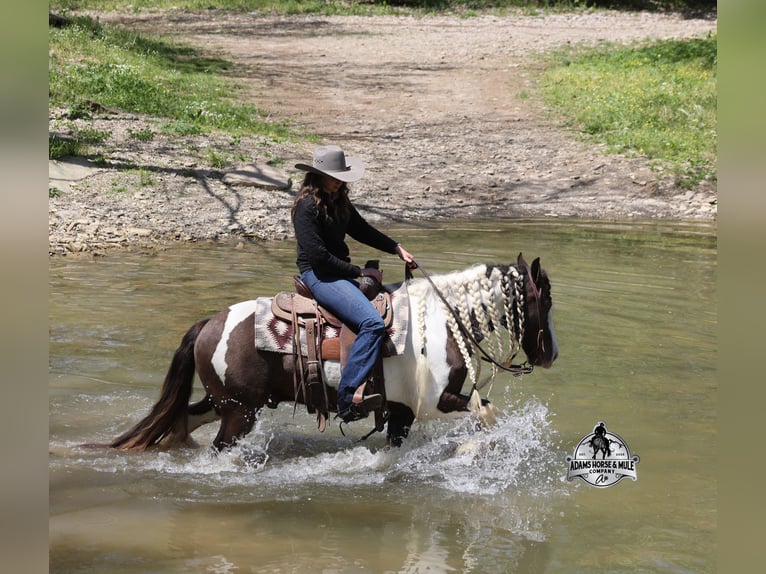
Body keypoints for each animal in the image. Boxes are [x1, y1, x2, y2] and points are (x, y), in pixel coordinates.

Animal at [107, 253, 558, 452]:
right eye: (546, 299)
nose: (551, 355)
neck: (441, 318)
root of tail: (207, 324)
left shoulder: (402, 410)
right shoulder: (435, 401)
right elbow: (486, 412)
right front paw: (469, 452)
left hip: (228, 403)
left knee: (184, 418)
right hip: (239, 413)